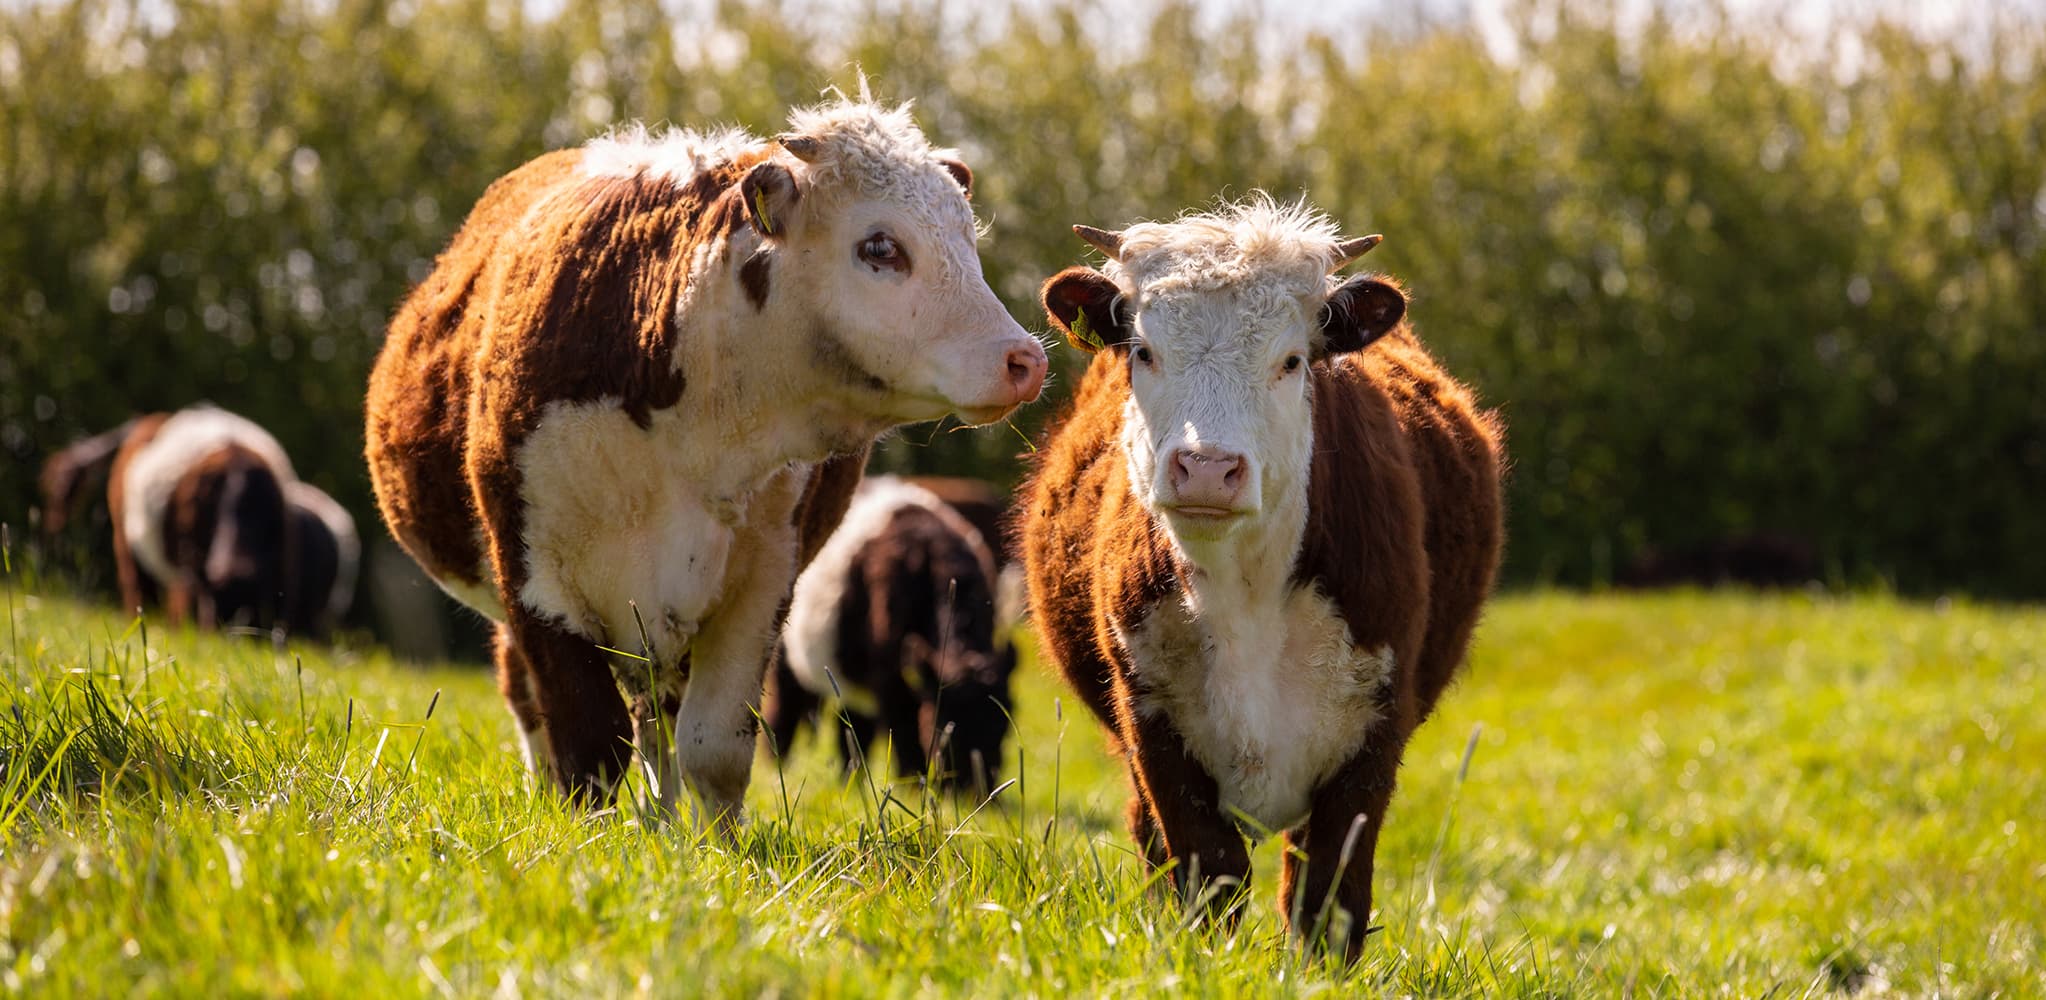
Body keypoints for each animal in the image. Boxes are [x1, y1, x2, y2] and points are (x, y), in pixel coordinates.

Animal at [764, 476, 1016, 793]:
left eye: (1006, 722)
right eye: (943, 722)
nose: (976, 793)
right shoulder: (891, 681)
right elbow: (904, 733)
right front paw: (913, 786)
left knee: (852, 729)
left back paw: (851, 781)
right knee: (785, 711)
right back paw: (777, 770)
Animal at [1020, 197, 1503, 959]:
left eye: (1291, 360)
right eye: (1144, 351)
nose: (1207, 468)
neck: (1243, 591)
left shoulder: (1372, 733)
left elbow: (1327, 900)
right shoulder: (1152, 721)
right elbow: (1206, 875)